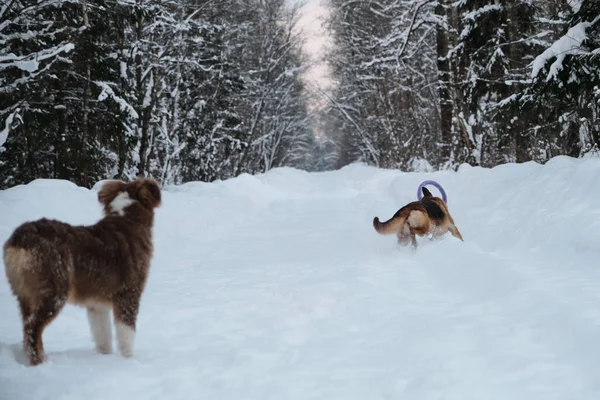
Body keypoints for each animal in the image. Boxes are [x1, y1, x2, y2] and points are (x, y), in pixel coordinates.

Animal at [2, 178, 162, 366]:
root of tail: (22, 238)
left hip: (23, 294)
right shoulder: (128, 293)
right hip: (53, 291)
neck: (127, 219)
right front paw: (128, 360)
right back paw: (39, 362)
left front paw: (105, 358)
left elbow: (102, 335)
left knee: (26, 327)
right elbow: (126, 334)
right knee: (32, 329)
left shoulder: (96, 304)